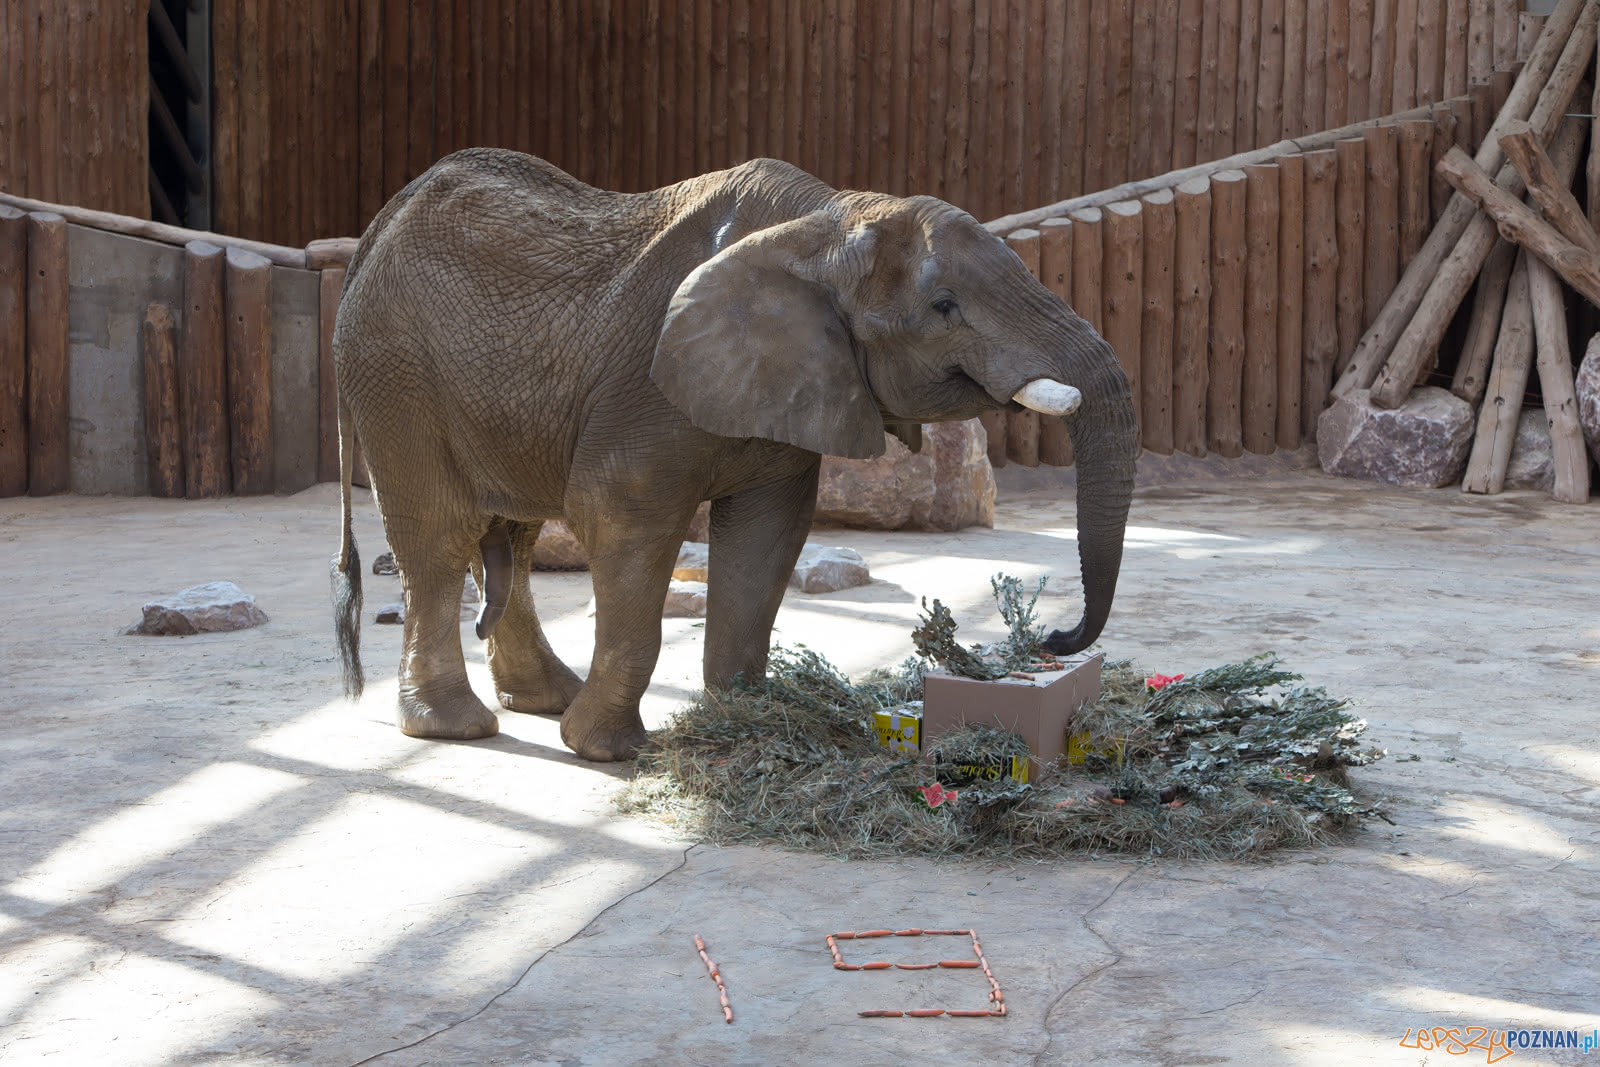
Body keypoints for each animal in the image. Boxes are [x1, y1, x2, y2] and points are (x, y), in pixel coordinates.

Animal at [331, 151, 1139, 767]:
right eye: (944, 306)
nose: (1050, 639)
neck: (827, 219)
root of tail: (379, 224)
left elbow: (768, 534)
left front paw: (746, 720)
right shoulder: (643, 385)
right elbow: (623, 518)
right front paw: (612, 752)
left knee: (513, 538)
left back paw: (542, 698)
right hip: (393, 370)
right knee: (440, 536)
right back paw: (456, 726)